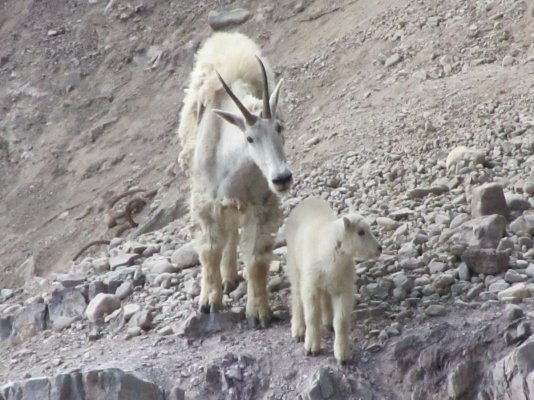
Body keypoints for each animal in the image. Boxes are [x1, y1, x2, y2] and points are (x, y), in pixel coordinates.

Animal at [178, 32, 292, 326]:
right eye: (250, 138)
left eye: (280, 128)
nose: (282, 178)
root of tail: (225, 37)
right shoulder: (206, 202)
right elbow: (209, 251)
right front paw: (209, 301)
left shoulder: (260, 204)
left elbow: (256, 259)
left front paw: (259, 312)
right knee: (225, 235)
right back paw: (225, 280)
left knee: (231, 233)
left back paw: (230, 277)